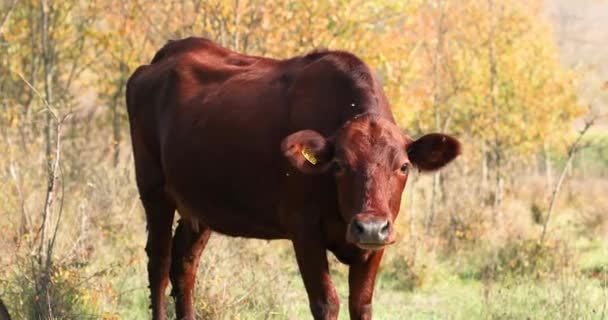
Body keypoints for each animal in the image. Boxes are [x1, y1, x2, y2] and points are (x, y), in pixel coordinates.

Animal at [127, 36, 460, 318]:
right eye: (338, 165)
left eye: (403, 166)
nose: (370, 227)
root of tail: (167, 52)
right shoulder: (304, 229)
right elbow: (326, 302)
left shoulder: (377, 244)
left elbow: (361, 303)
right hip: (153, 189)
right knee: (159, 263)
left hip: (200, 203)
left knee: (184, 264)